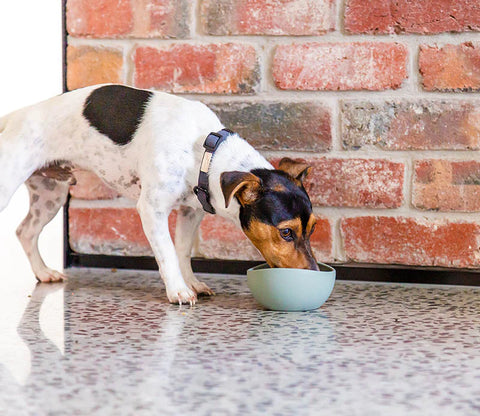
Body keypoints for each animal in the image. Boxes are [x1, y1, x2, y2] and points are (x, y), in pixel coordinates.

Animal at [0, 84, 318, 306]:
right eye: (286, 233)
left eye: (313, 229)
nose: (314, 273)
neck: (205, 151)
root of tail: (12, 117)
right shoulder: (152, 210)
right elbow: (166, 253)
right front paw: (178, 290)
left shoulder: (191, 211)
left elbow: (183, 251)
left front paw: (191, 283)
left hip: (50, 197)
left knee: (25, 231)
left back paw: (43, 272)